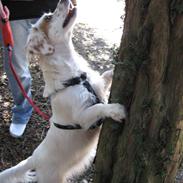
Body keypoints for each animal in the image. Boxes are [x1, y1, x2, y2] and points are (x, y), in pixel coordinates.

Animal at [0, 0, 125, 182]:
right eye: (48, 17)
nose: (63, 1)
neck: (75, 76)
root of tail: (33, 158)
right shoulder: (83, 118)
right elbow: (99, 107)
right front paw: (116, 110)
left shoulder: (98, 84)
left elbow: (106, 75)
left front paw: (116, 68)